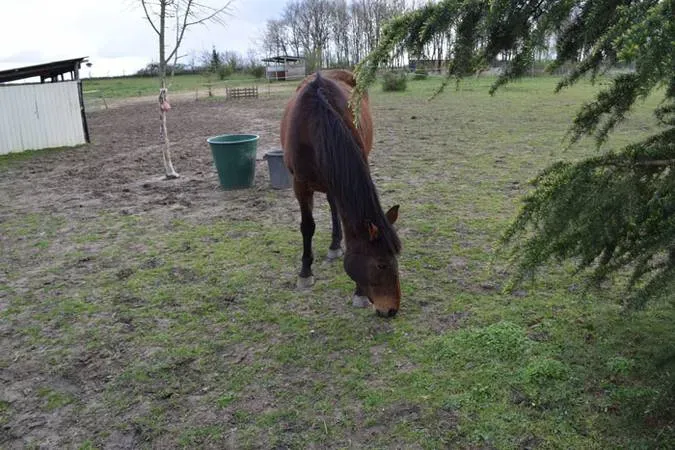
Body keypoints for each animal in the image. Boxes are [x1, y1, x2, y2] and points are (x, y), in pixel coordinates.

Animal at [280, 69, 402, 317]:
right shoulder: (300, 185)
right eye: (381, 264)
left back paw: (335, 245)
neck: (315, 124)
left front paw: (358, 294)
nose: (392, 310)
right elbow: (307, 227)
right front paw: (305, 273)